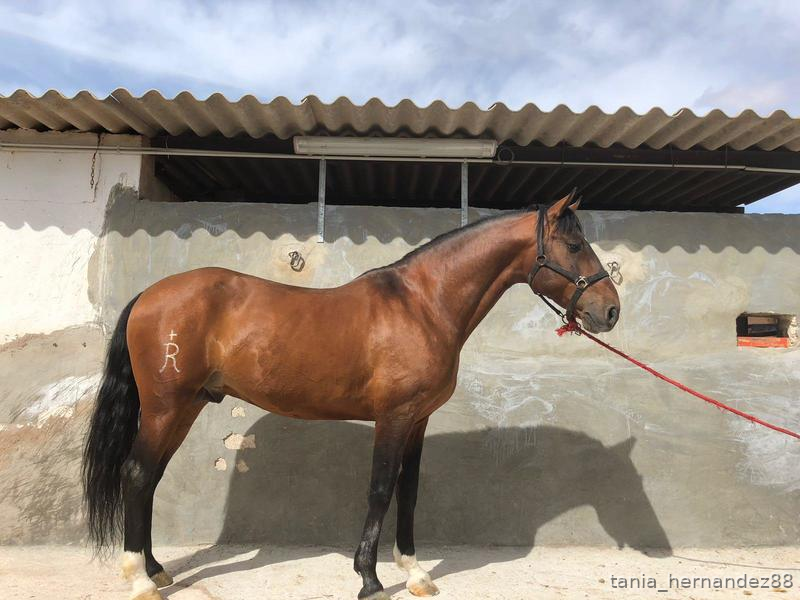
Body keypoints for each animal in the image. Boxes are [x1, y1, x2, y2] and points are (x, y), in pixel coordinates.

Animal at [83, 190, 620, 600]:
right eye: (574, 244)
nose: (611, 310)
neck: (423, 304)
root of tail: (149, 295)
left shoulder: (418, 420)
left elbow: (409, 492)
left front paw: (416, 572)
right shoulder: (394, 416)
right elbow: (380, 489)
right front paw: (370, 579)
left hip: (187, 406)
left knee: (150, 477)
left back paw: (155, 569)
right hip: (165, 406)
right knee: (137, 473)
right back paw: (139, 580)